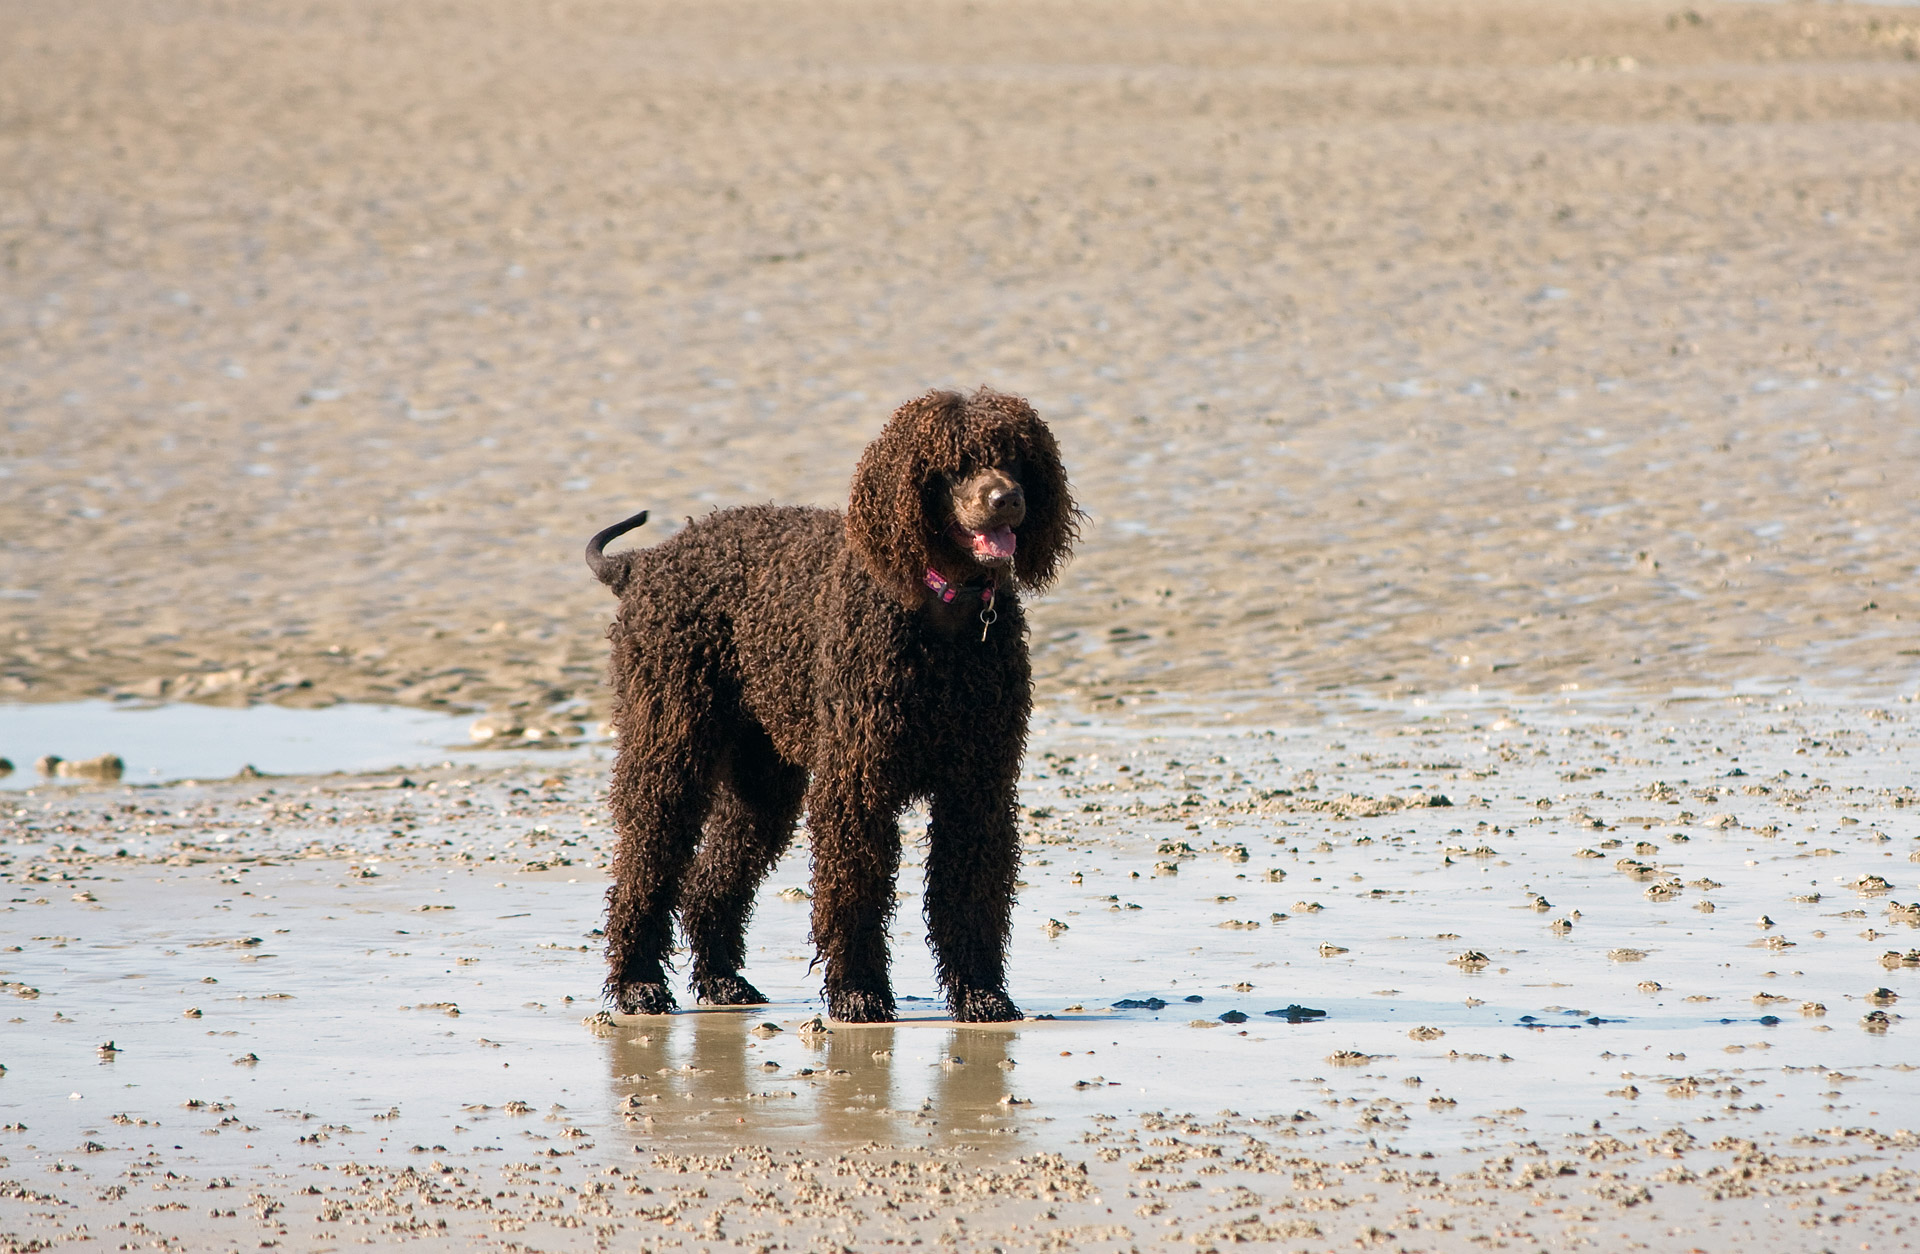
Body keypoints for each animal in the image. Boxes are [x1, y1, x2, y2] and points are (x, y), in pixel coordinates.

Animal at [583, 385, 1075, 1021]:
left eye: (1016, 457)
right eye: (953, 464)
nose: (1007, 498)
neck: (942, 617)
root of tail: (647, 561)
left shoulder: (978, 784)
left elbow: (970, 892)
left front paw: (980, 993)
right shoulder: (858, 783)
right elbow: (856, 889)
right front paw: (858, 991)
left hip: (763, 778)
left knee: (713, 877)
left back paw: (722, 979)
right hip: (670, 741)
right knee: (647, 859)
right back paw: (637, 983)